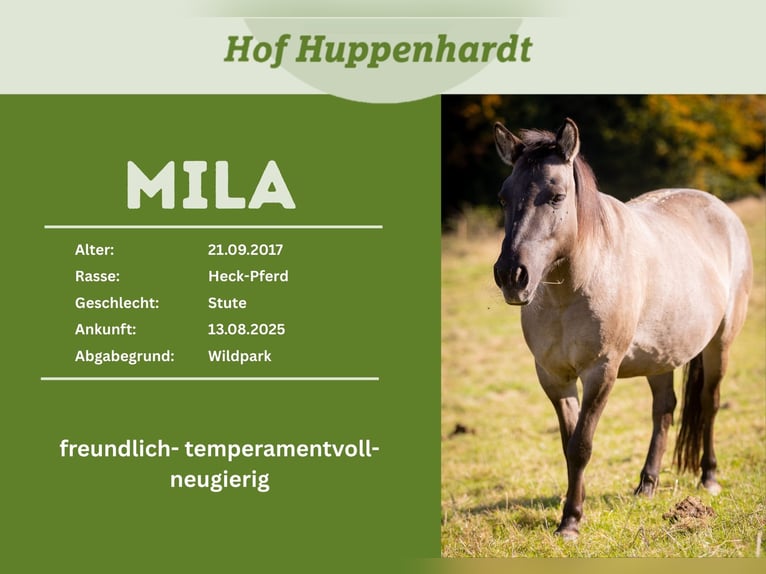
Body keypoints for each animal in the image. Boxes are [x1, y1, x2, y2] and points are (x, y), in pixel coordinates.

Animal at [491, 118, 753, 540]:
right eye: (503, 198)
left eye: (556, 196)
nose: (512, 275)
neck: (575, 284)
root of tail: (719, 208)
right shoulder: (553, 376)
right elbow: (568, 444)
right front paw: (572, 512)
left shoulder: (601, 373)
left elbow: (582, 444)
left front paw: (571, 522)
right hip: (661, 355)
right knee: (664, 410)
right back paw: (647, 485)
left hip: (720, 344)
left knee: (709, 403)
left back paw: (709, 478)